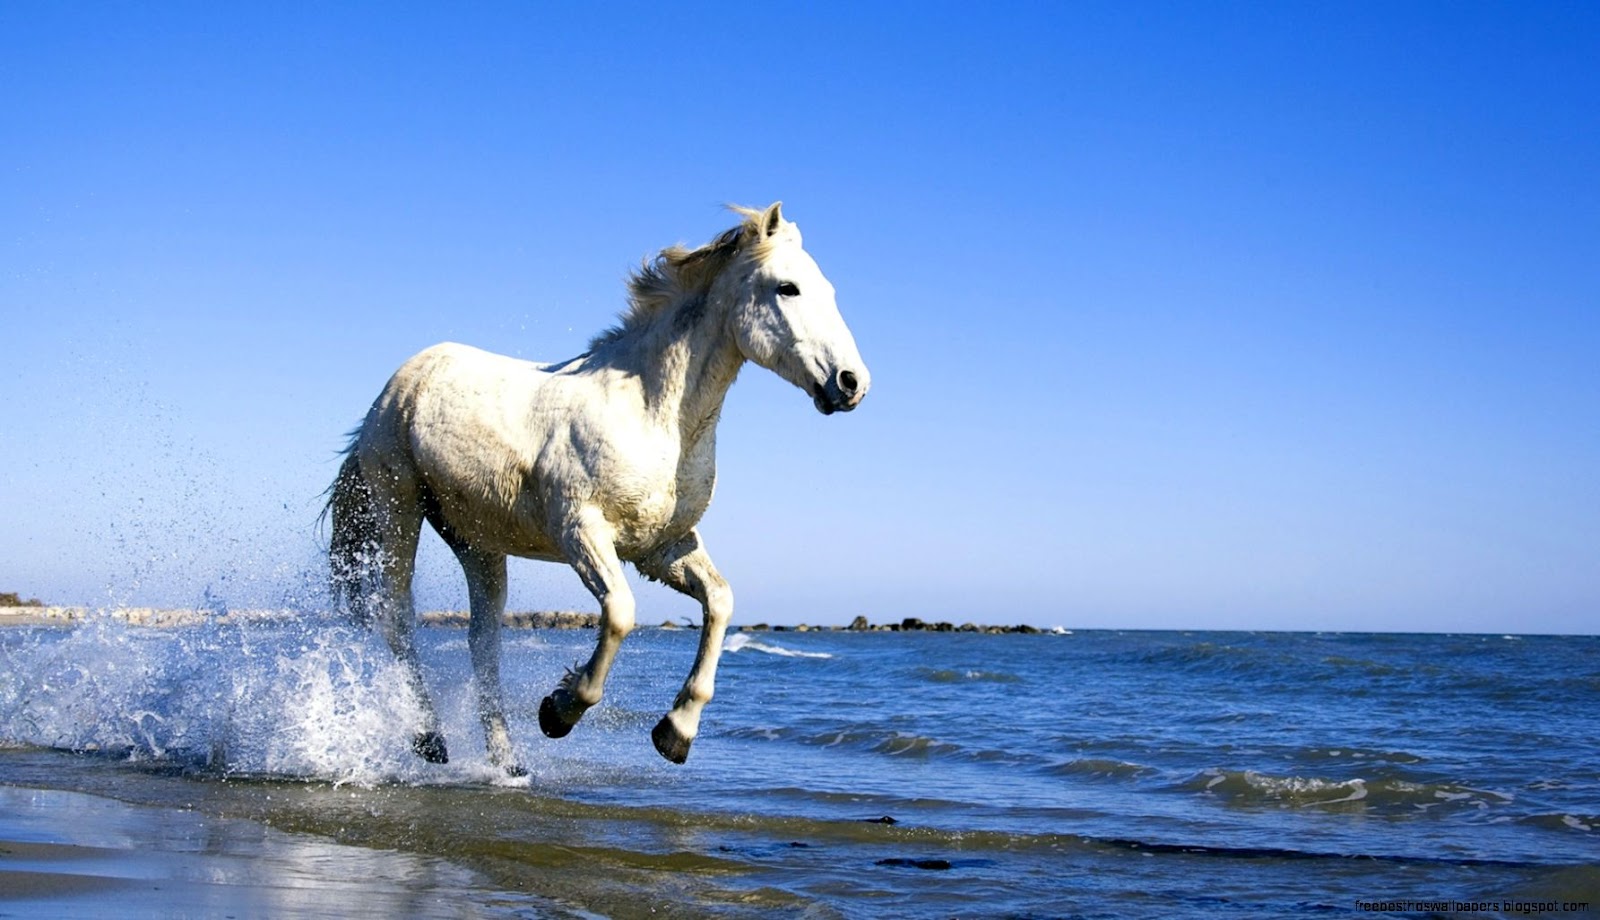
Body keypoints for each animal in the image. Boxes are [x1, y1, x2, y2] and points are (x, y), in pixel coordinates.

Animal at [326, 202, 870, 774]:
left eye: (828, 289)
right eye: (787, 288)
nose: (852, 382)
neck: (652, 413)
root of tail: (403, 380)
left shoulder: (662, 547)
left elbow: (720, 602)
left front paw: (676, 733)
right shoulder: (581, 531)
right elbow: (621, 614)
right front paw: (558, 711)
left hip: (478, 542)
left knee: (482, 642)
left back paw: (508, 762)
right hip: (398, 507)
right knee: (396, 616)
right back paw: (430, 738)